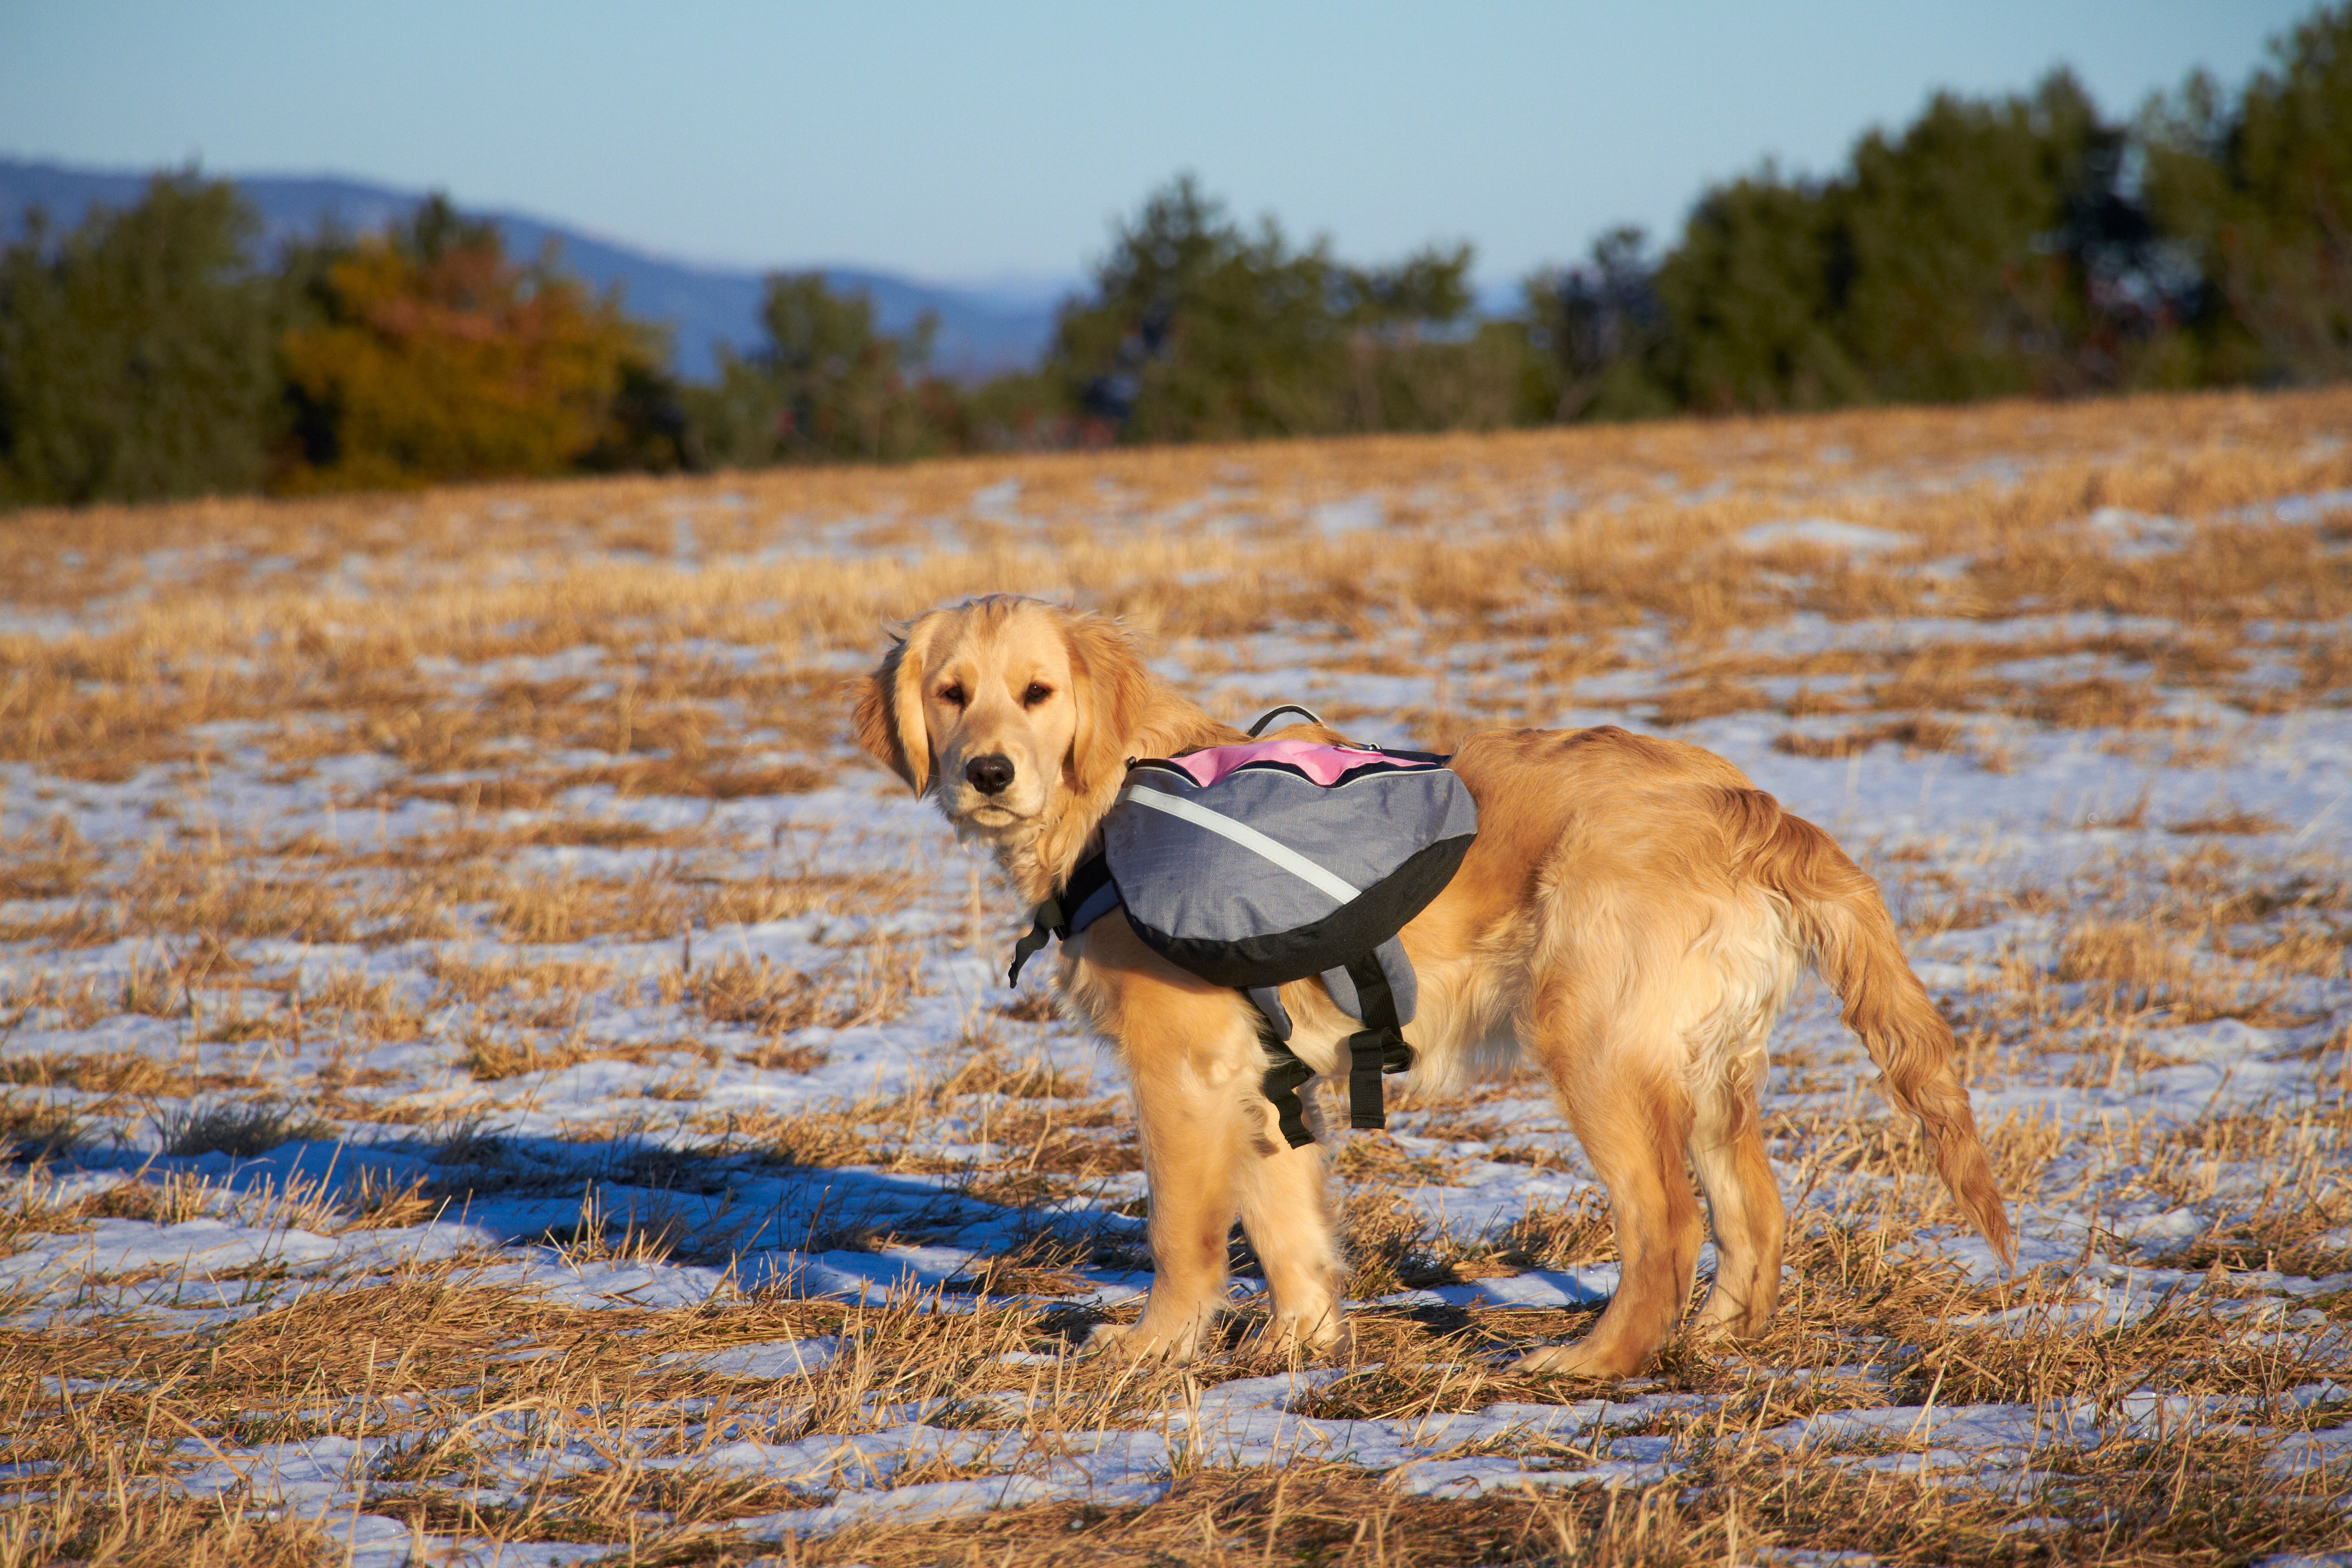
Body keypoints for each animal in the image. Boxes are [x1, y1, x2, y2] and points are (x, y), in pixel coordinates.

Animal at [856, 594, 2013, 1382]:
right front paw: (1300, 1343)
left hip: (1592, 1045)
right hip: (1710, 1065)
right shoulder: (1260, 1078)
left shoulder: (1179, 1074)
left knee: (1668, 1225)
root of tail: (1743, 800)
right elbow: (1287, 1228)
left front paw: (1153, 1350)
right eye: (951, 695)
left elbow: (1183, 1238)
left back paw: (1595, 1361)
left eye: (1037, 694)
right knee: (1754, 1215)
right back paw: (1716, 1338)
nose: (987, 772)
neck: (1109, 803)